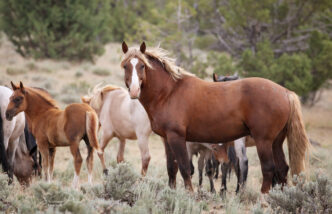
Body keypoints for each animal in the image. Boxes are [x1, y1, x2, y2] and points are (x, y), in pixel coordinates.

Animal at [120, 41, 310, 194]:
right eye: (125, 66)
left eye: (142, 66)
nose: (134, 91)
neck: (169, 92)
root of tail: (285, 92)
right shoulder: (166, 139)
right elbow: (171, 168)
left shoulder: (177, 138)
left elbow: (184, 168)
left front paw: (190, 195)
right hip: (276, 141)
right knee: (282, 168)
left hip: (264, 141)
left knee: (268, 168)